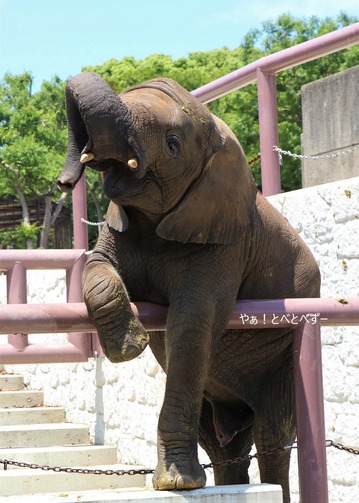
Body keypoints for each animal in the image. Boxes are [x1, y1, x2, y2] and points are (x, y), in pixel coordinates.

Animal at [57, 72, 322, 503]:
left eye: (172, 144)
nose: (64, 182)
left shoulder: (225, 242)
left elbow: (193, 322)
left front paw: (177, 484)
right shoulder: (119, 226)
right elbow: (95, 266)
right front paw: (129, 347)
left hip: (283, 358)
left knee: (273, 435)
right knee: (223, 443)